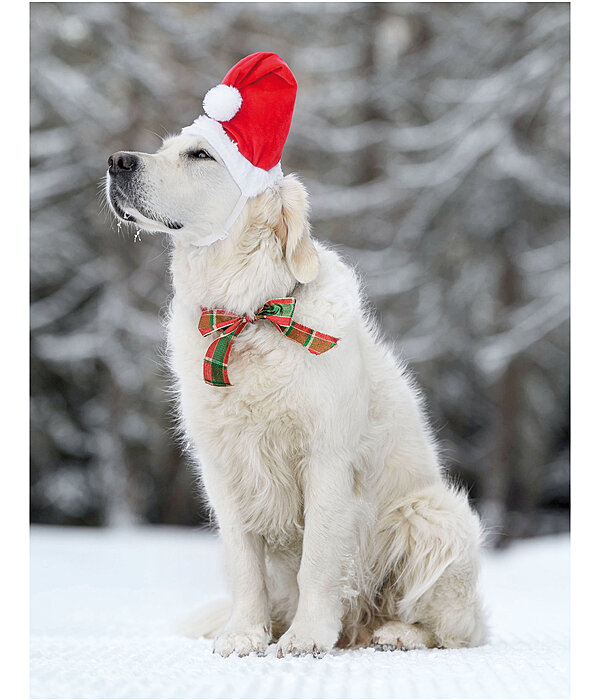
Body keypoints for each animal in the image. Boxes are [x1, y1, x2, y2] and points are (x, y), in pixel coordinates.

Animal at [105, 57, 486, 660]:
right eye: (165, 147)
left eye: (200, 154)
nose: (117, 160)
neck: (249, 315)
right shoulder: (223, 470)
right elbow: (247, 567)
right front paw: (244, 635)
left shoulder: (325, 459)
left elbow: (319, 562)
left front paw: (306, 637)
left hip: (437, 515)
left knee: (452, 628)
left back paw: (395, 634)